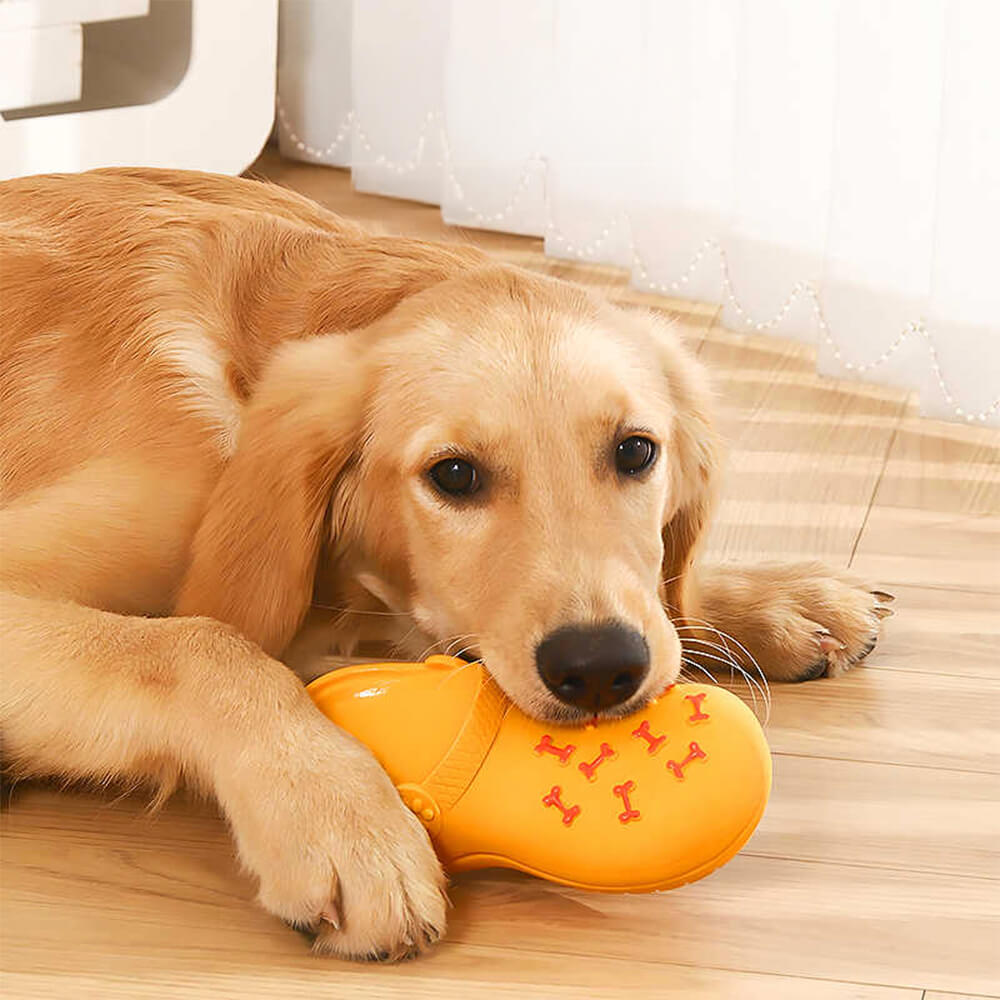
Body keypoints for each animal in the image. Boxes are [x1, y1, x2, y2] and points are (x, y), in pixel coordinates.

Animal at [0, 170, 892, 960]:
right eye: (454, 475)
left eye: (637, 451)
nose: (599, 668)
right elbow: (204, 644)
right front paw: (344, 823)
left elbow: (676, 598)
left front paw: (780, 601)